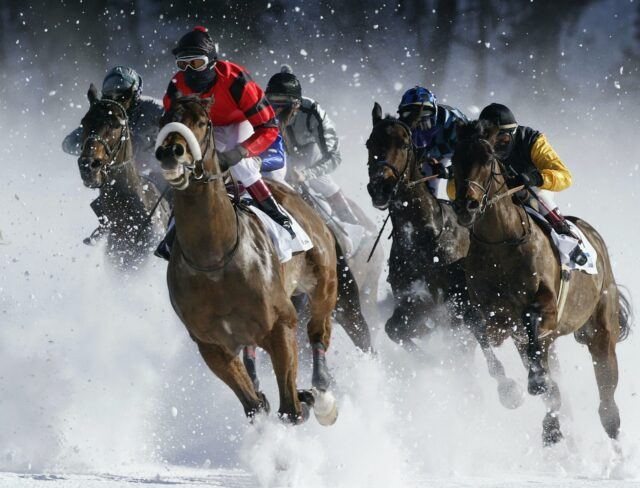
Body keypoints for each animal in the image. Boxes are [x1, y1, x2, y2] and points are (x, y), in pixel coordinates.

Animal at [154, 93, 340, 426]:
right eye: (165, 119)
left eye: (202, 122)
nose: (171, 152)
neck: (215, 260)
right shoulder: (212, 346)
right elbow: (255, 405)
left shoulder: (281, 324)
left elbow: (290, 409)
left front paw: (305, 400)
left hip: (324, 280)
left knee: (319, 330)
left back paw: (321, 393)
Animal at [364, 105, 524, 410]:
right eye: (370, 144)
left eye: (403, 143)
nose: (380, 187)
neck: (424, 235)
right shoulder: (415, 302)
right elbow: (395, 330)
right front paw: (433, 365)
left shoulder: (460, 300)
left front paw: (506, 387)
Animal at [452, 119, 632, 446]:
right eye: (454, 161)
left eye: (487, 159)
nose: (466, 206)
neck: (502, 244)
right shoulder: (494, 318)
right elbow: (477, 326)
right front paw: (509, 391)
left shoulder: (547, 308)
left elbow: (531, 314)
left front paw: (535, 382)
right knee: (554, 389)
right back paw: (552, 426)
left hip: (601, 331)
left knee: (607, 405)